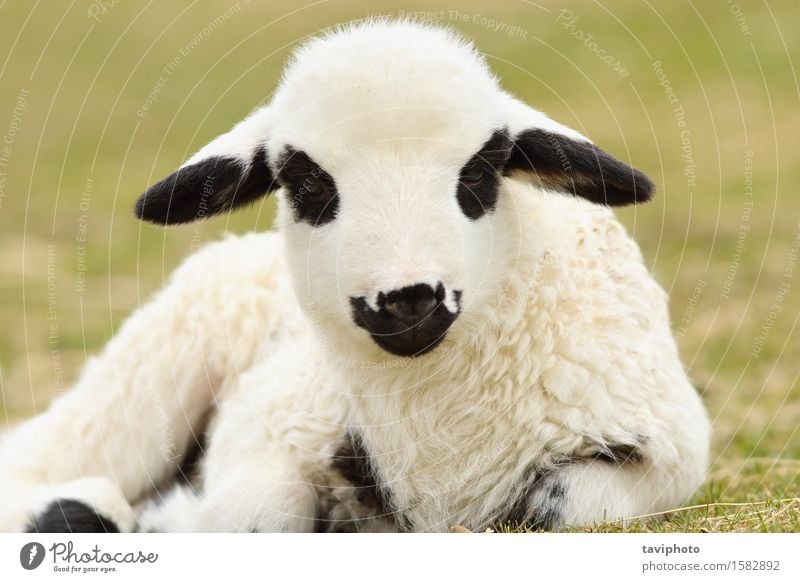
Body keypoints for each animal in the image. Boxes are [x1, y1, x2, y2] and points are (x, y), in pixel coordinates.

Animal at [0, 19, 708, 532]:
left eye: (481, 170)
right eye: (307, 183)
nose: (408, 298)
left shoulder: (670, 452)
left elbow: (558, 504)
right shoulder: (273, 420)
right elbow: (258, 516)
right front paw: (165, 518)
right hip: (148, 380)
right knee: (40, 459)